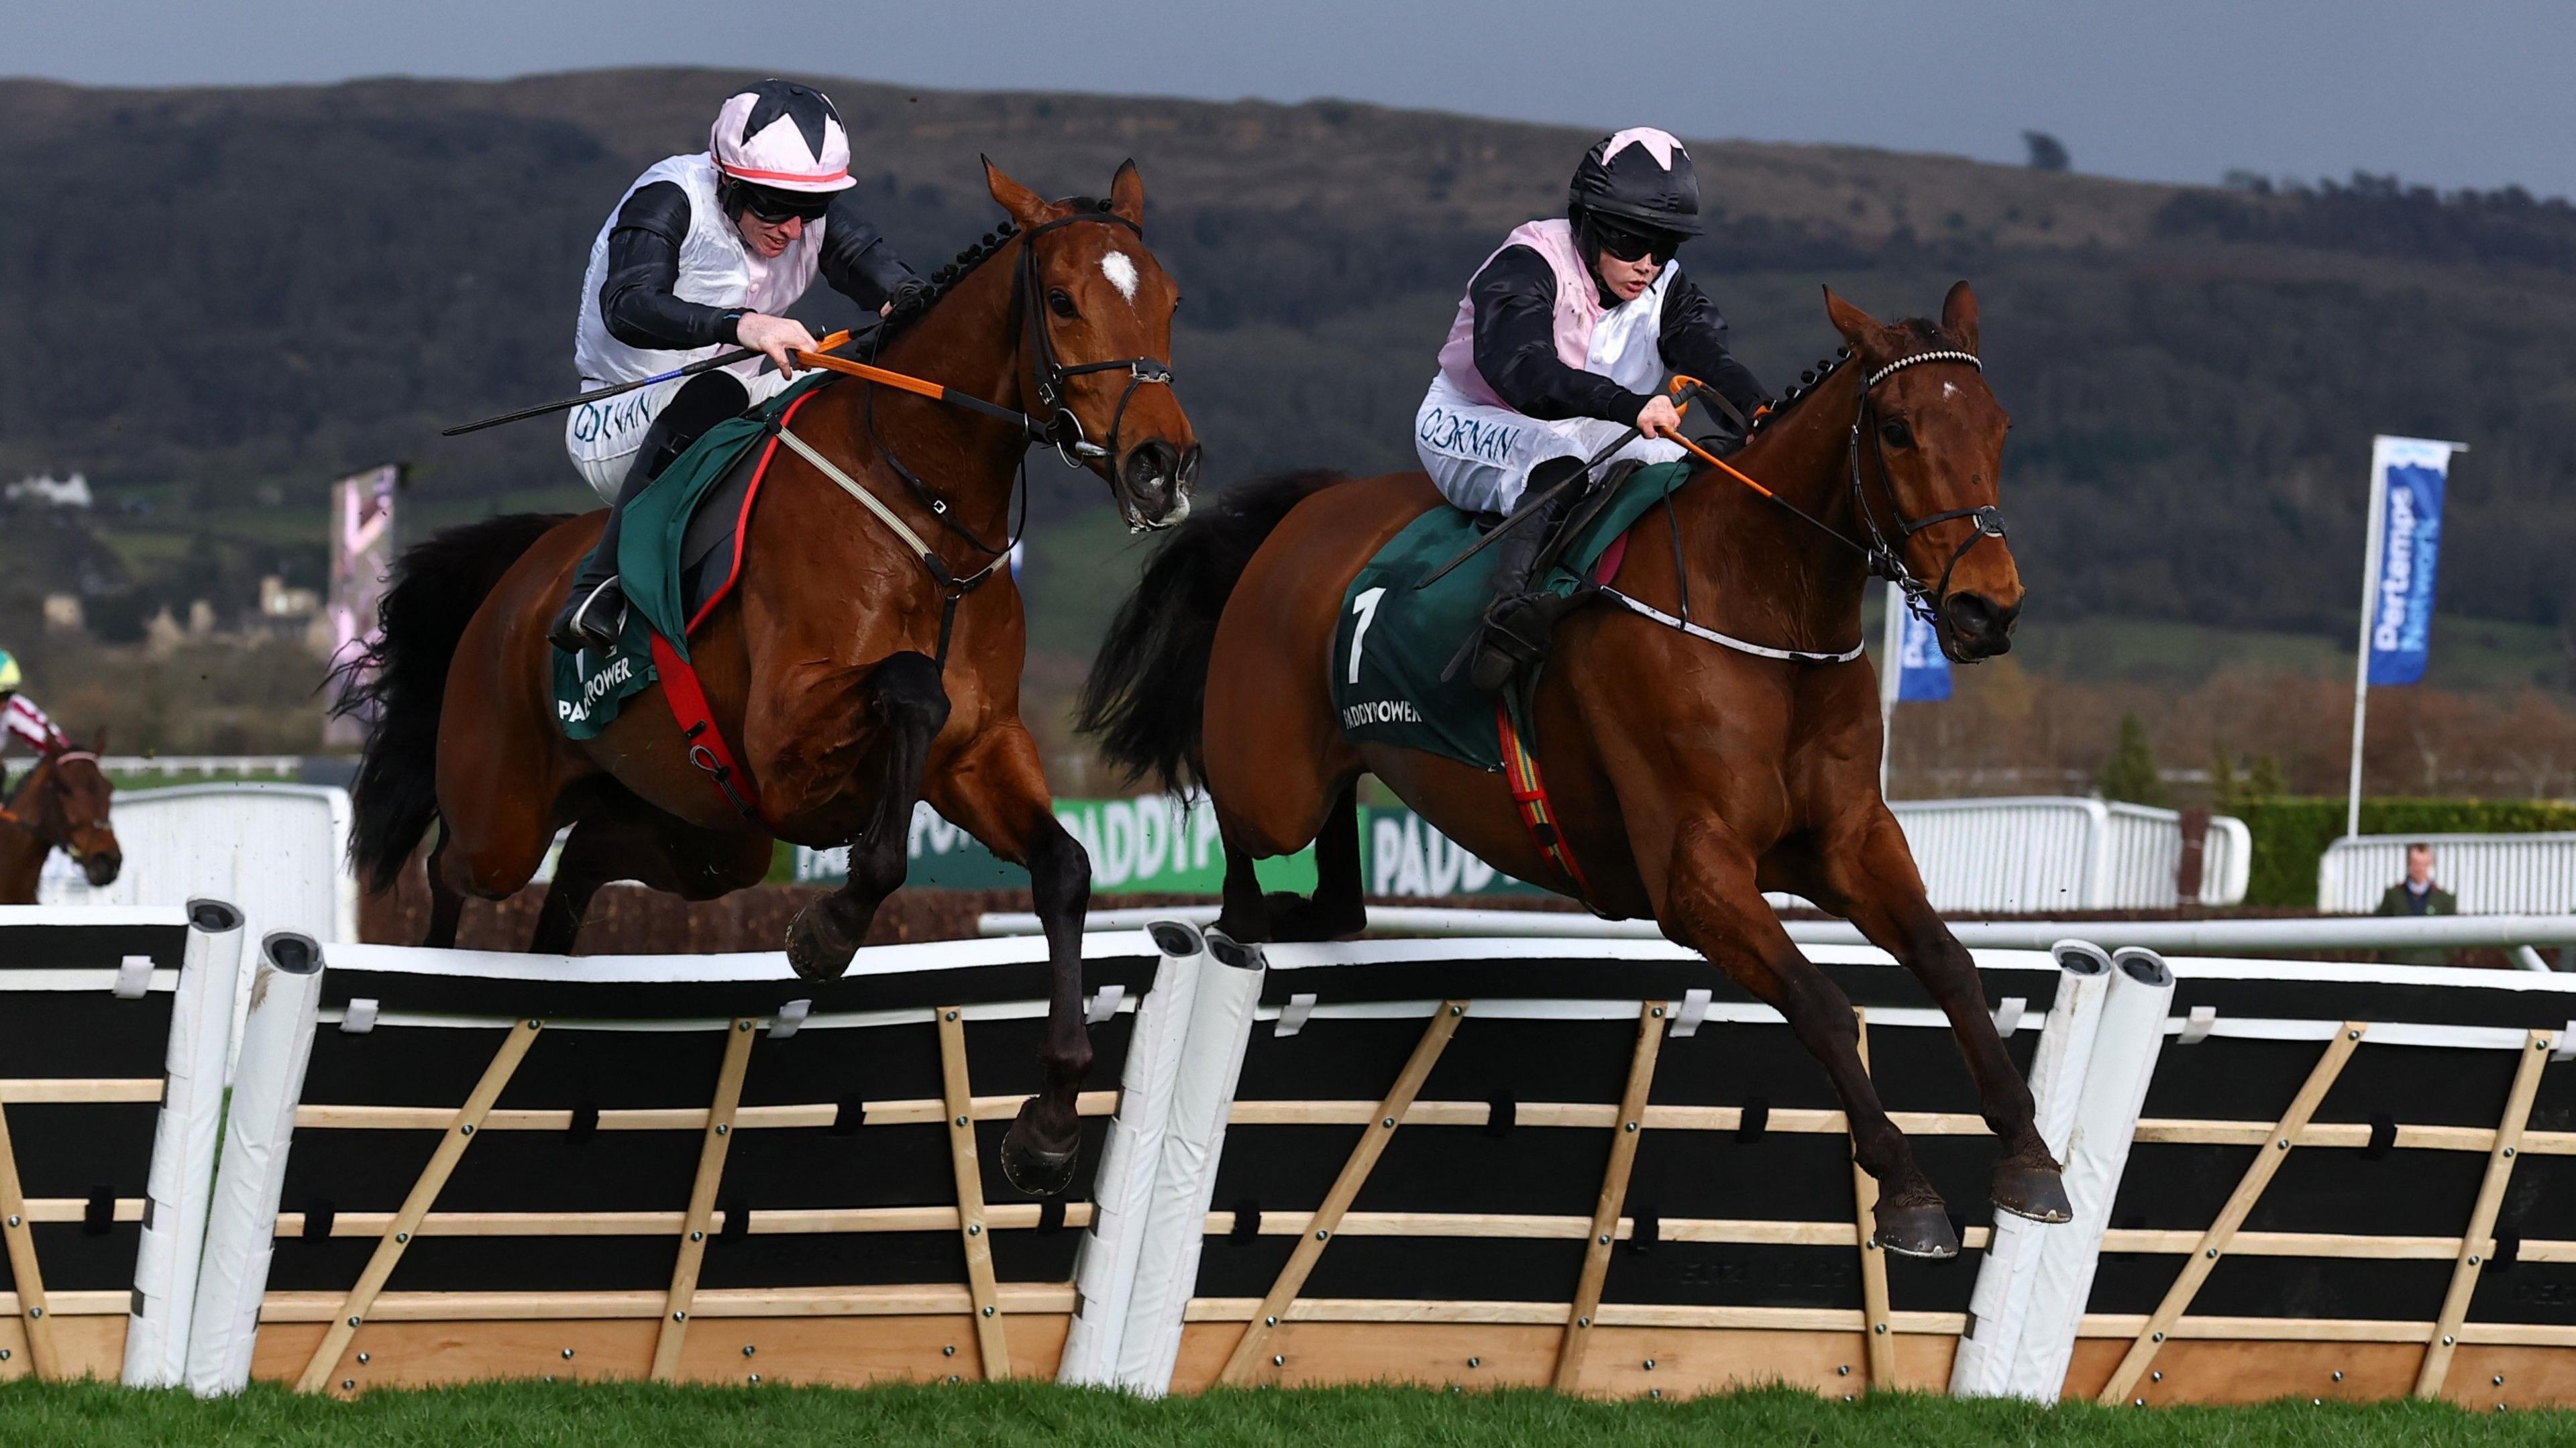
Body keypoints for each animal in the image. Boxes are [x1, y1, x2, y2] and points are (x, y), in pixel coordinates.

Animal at [329, 160, 1195, 1195]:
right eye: (1062, 300)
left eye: (1171, 301)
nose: (1161, 465)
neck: (926, 516)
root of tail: (519, 571)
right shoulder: (787, 740)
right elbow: (910, 692)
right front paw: (829, 925)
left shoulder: (978, 752)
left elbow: (1064, 868)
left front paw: (1050, 1122)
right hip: (506, 808)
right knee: (453, 868)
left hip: (706, 834)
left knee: (580, 865)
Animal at [1087, 282, 2071, 1252]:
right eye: (1897, 427)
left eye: (2000, 424)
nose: (1987, 607)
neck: (1764, 610)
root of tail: (1308, 509)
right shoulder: (1695, 872)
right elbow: (1821, 1001)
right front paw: (1906, 1187)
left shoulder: (1848, 839)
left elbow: (1948, 961)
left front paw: (2030, 1152)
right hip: (1270, 781)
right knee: (1241, 830)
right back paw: (1249, 919)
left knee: (1339, 886)